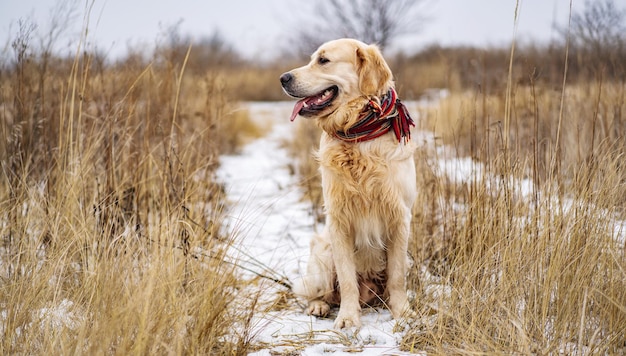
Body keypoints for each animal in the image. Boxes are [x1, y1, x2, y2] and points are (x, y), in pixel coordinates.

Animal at [278, 38, 414, 328]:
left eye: (323, 60)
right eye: (312, 59)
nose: (283, 78)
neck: (357, 134)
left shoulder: (400, 217)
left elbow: (397, 277)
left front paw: (403, 313)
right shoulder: (339, 219)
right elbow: (347, 278)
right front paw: (349, 318)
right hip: (322, 254)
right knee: (320, 293)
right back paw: (319, 306)